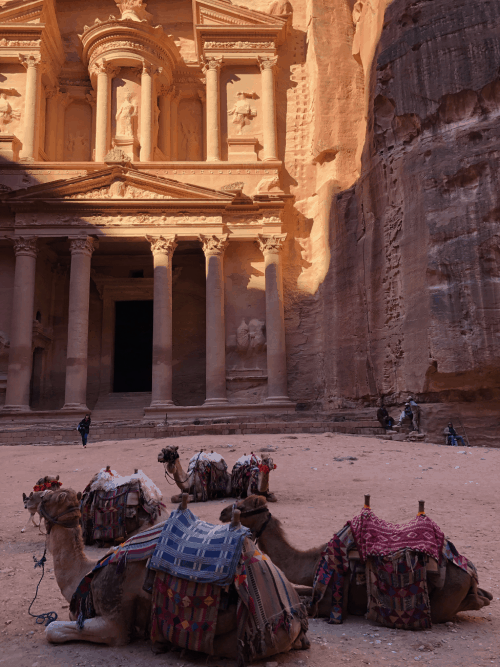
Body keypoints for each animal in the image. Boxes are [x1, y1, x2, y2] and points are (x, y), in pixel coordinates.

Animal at [43, 488, 310, 664]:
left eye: (48, 496)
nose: (34, 497)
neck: (85, 572)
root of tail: (296, 616)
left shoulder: (114, 616)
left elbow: (52, 629)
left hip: (245, 640)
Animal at [221, 496, 494, 628]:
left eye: (244, 505)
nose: (223, 512)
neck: (313, 562)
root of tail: (470, 572)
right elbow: (298, 591)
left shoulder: (329, 601)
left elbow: (308, 605)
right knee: (482, 596)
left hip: (445, 599)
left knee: (474, 603)